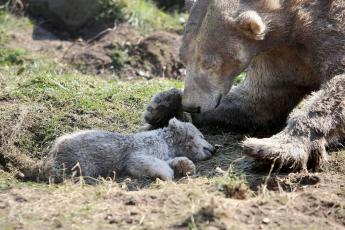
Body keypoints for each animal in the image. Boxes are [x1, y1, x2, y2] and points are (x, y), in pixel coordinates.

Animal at [144, 0, 344, 172]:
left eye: (210, 64)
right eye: (183, 58)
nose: (192, 105)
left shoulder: (329, 29)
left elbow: (337, 85)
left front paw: (271, 148)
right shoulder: (280, 56)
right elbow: (259, 101)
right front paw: (162, 106)